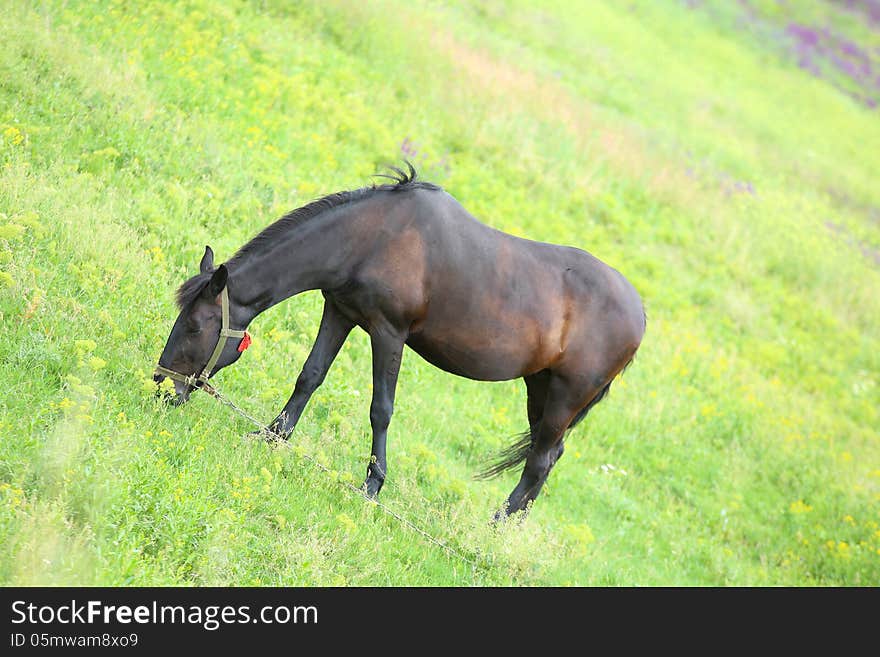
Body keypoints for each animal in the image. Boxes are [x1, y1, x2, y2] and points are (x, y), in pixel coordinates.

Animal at [155, 164, 644, 516]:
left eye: (196, 326)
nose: (162, 387)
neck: (372, 238)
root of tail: (639, 314)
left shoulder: (388, 333)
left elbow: (381, 409)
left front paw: (372, 486)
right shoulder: (340, 312)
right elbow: (310, 376)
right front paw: (271, 437)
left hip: (565, 394)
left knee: (539, 461)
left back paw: (496, 525)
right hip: (539, 386)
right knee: (549, 456)